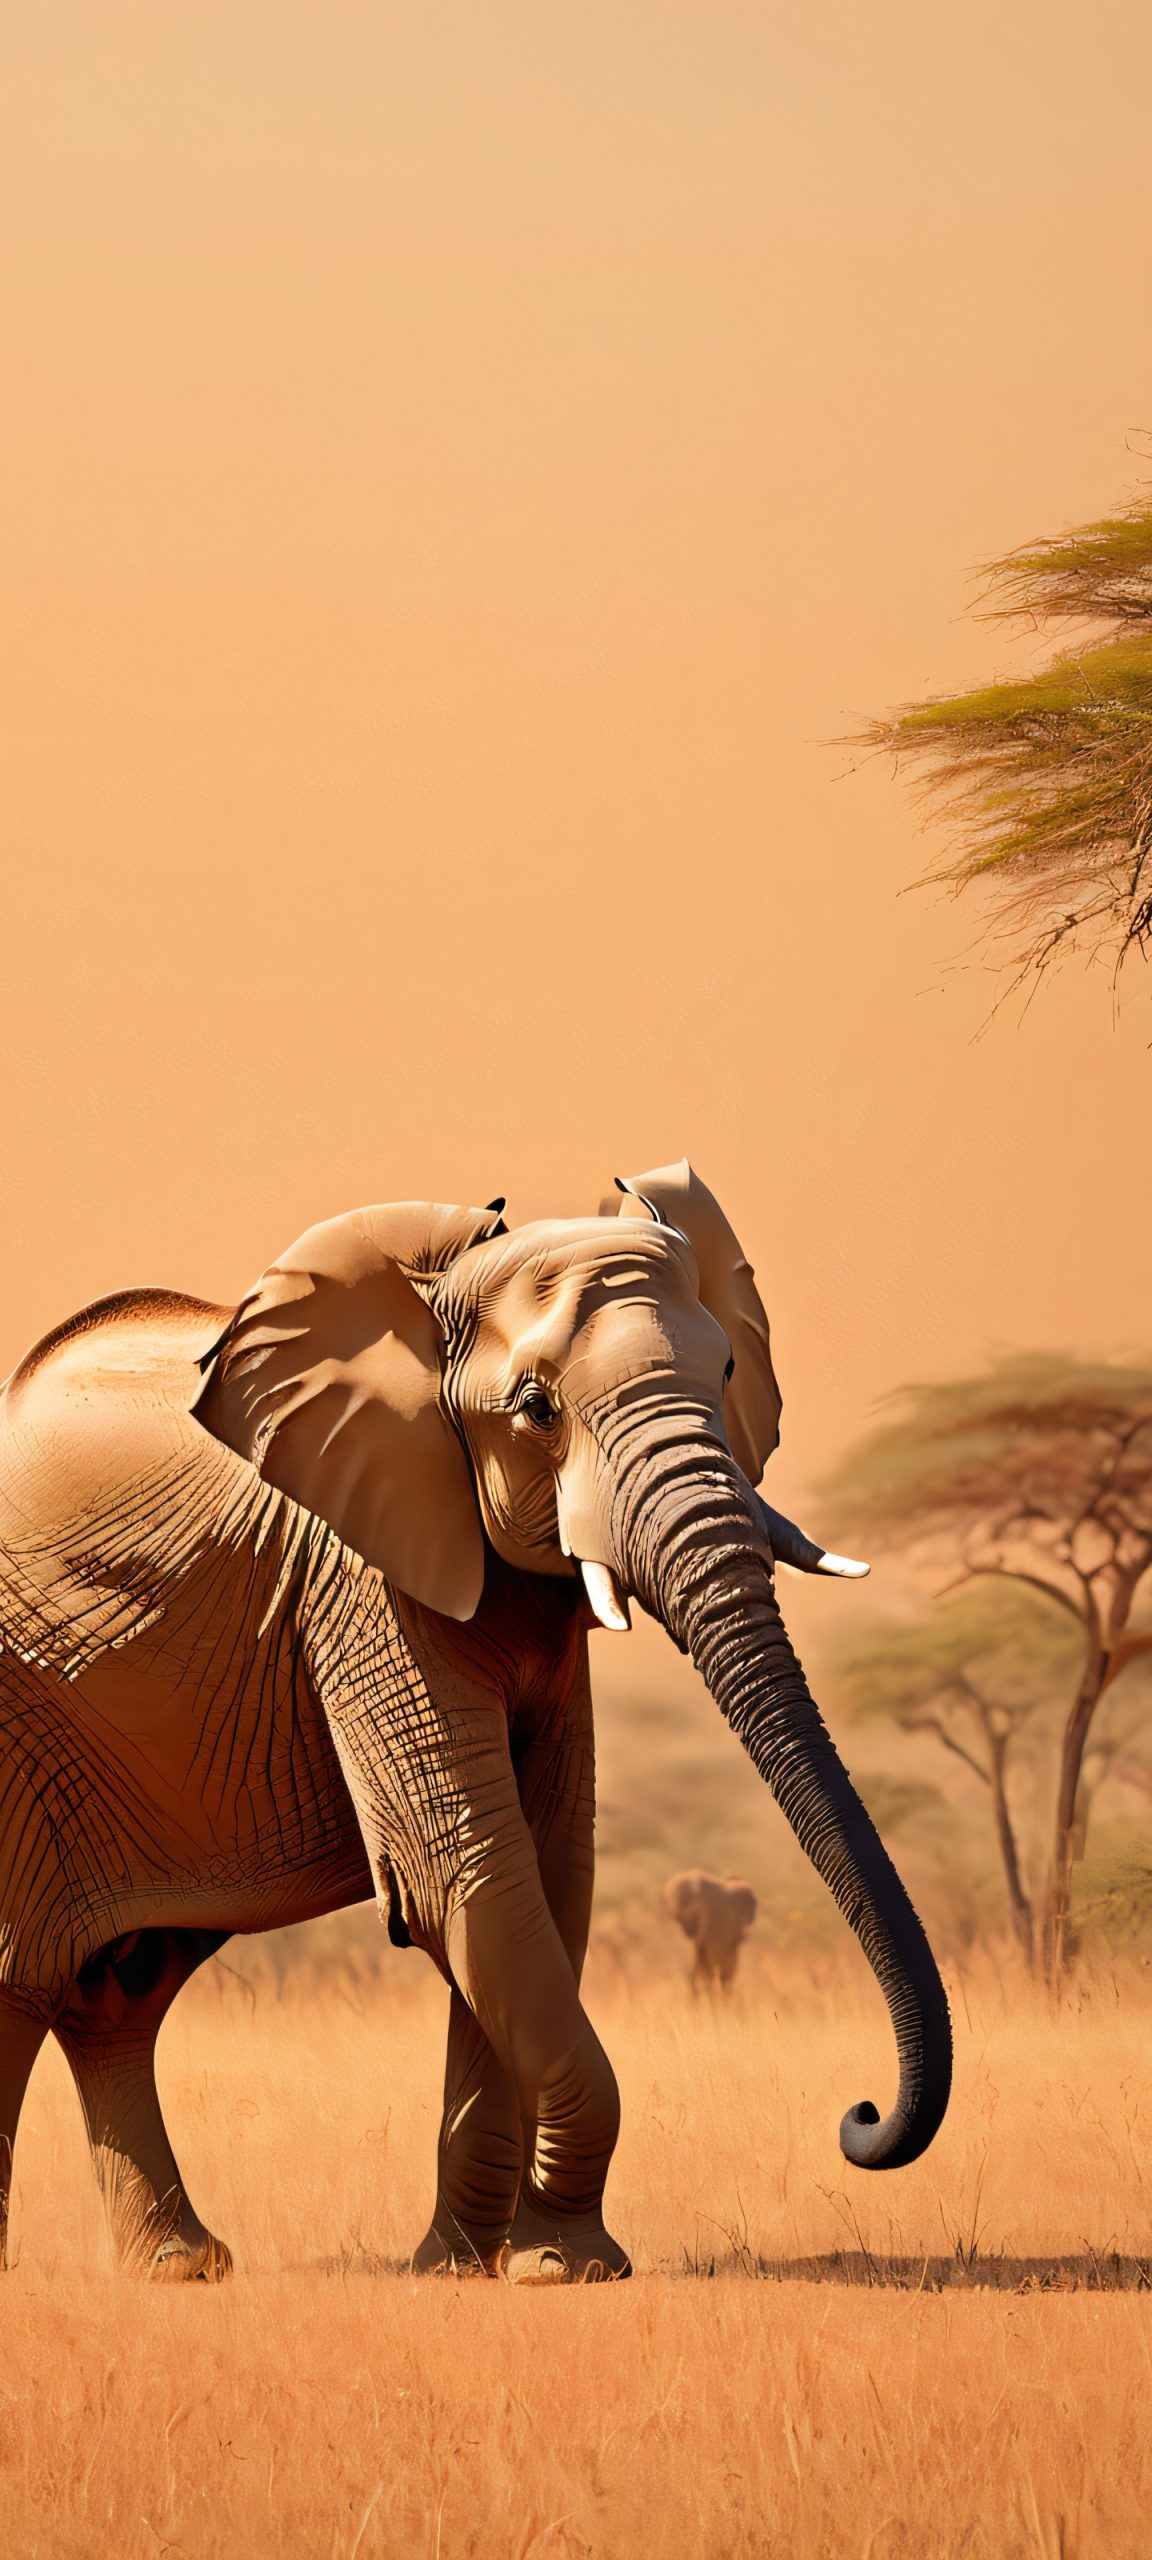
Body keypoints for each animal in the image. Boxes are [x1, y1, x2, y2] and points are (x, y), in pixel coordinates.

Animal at [0, 1160, 951, 2287]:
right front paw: (558, 2270)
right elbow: (465, 1870)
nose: (860, 2117)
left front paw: (484, 2264)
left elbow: (547, 1871)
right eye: (536, 1409)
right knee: (22, 1981)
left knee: (119, 1995)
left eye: (726, 1368)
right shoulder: (361, 1574)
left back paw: (184, 2268)